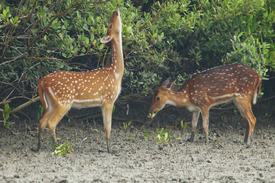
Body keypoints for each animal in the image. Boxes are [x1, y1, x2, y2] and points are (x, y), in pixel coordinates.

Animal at [36, 8, 124, 152]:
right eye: (110, 25)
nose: (116, 10)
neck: (115, 73)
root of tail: (42, 81)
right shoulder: (109, 99)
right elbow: (109, 128)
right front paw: (110, 150)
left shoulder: (102, 103)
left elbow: (105, 127)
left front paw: (107, 148)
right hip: (63, 101)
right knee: (51, 123)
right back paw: (57, 147)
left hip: (51, 102)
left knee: (42, 121)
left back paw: (38, 147)